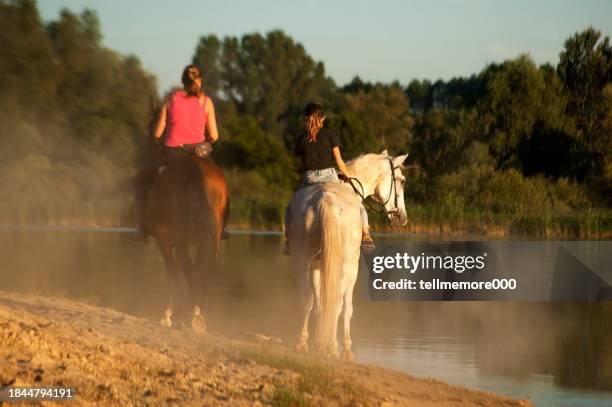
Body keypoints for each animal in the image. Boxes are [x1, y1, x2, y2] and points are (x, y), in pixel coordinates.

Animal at [143, 155, 230, 334]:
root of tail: (194, 167)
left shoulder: (164, 239)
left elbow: (172, 275)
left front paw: (167, 315)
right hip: (209, 239)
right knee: (203, 272)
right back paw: (196, 313)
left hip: (180, 239)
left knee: (191, 271)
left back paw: (188, 315)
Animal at [286, 151, 406, 360]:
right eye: (401, 180)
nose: (402, 218)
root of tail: (325, 199)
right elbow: (345, 307)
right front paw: (344, 349)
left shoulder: (318, 266)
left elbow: (320, 303)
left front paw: (319, 341)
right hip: (348, 267)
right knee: (339, 303)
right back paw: (335, 348)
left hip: (301, 261)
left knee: (308, 299)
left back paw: (302, 344)